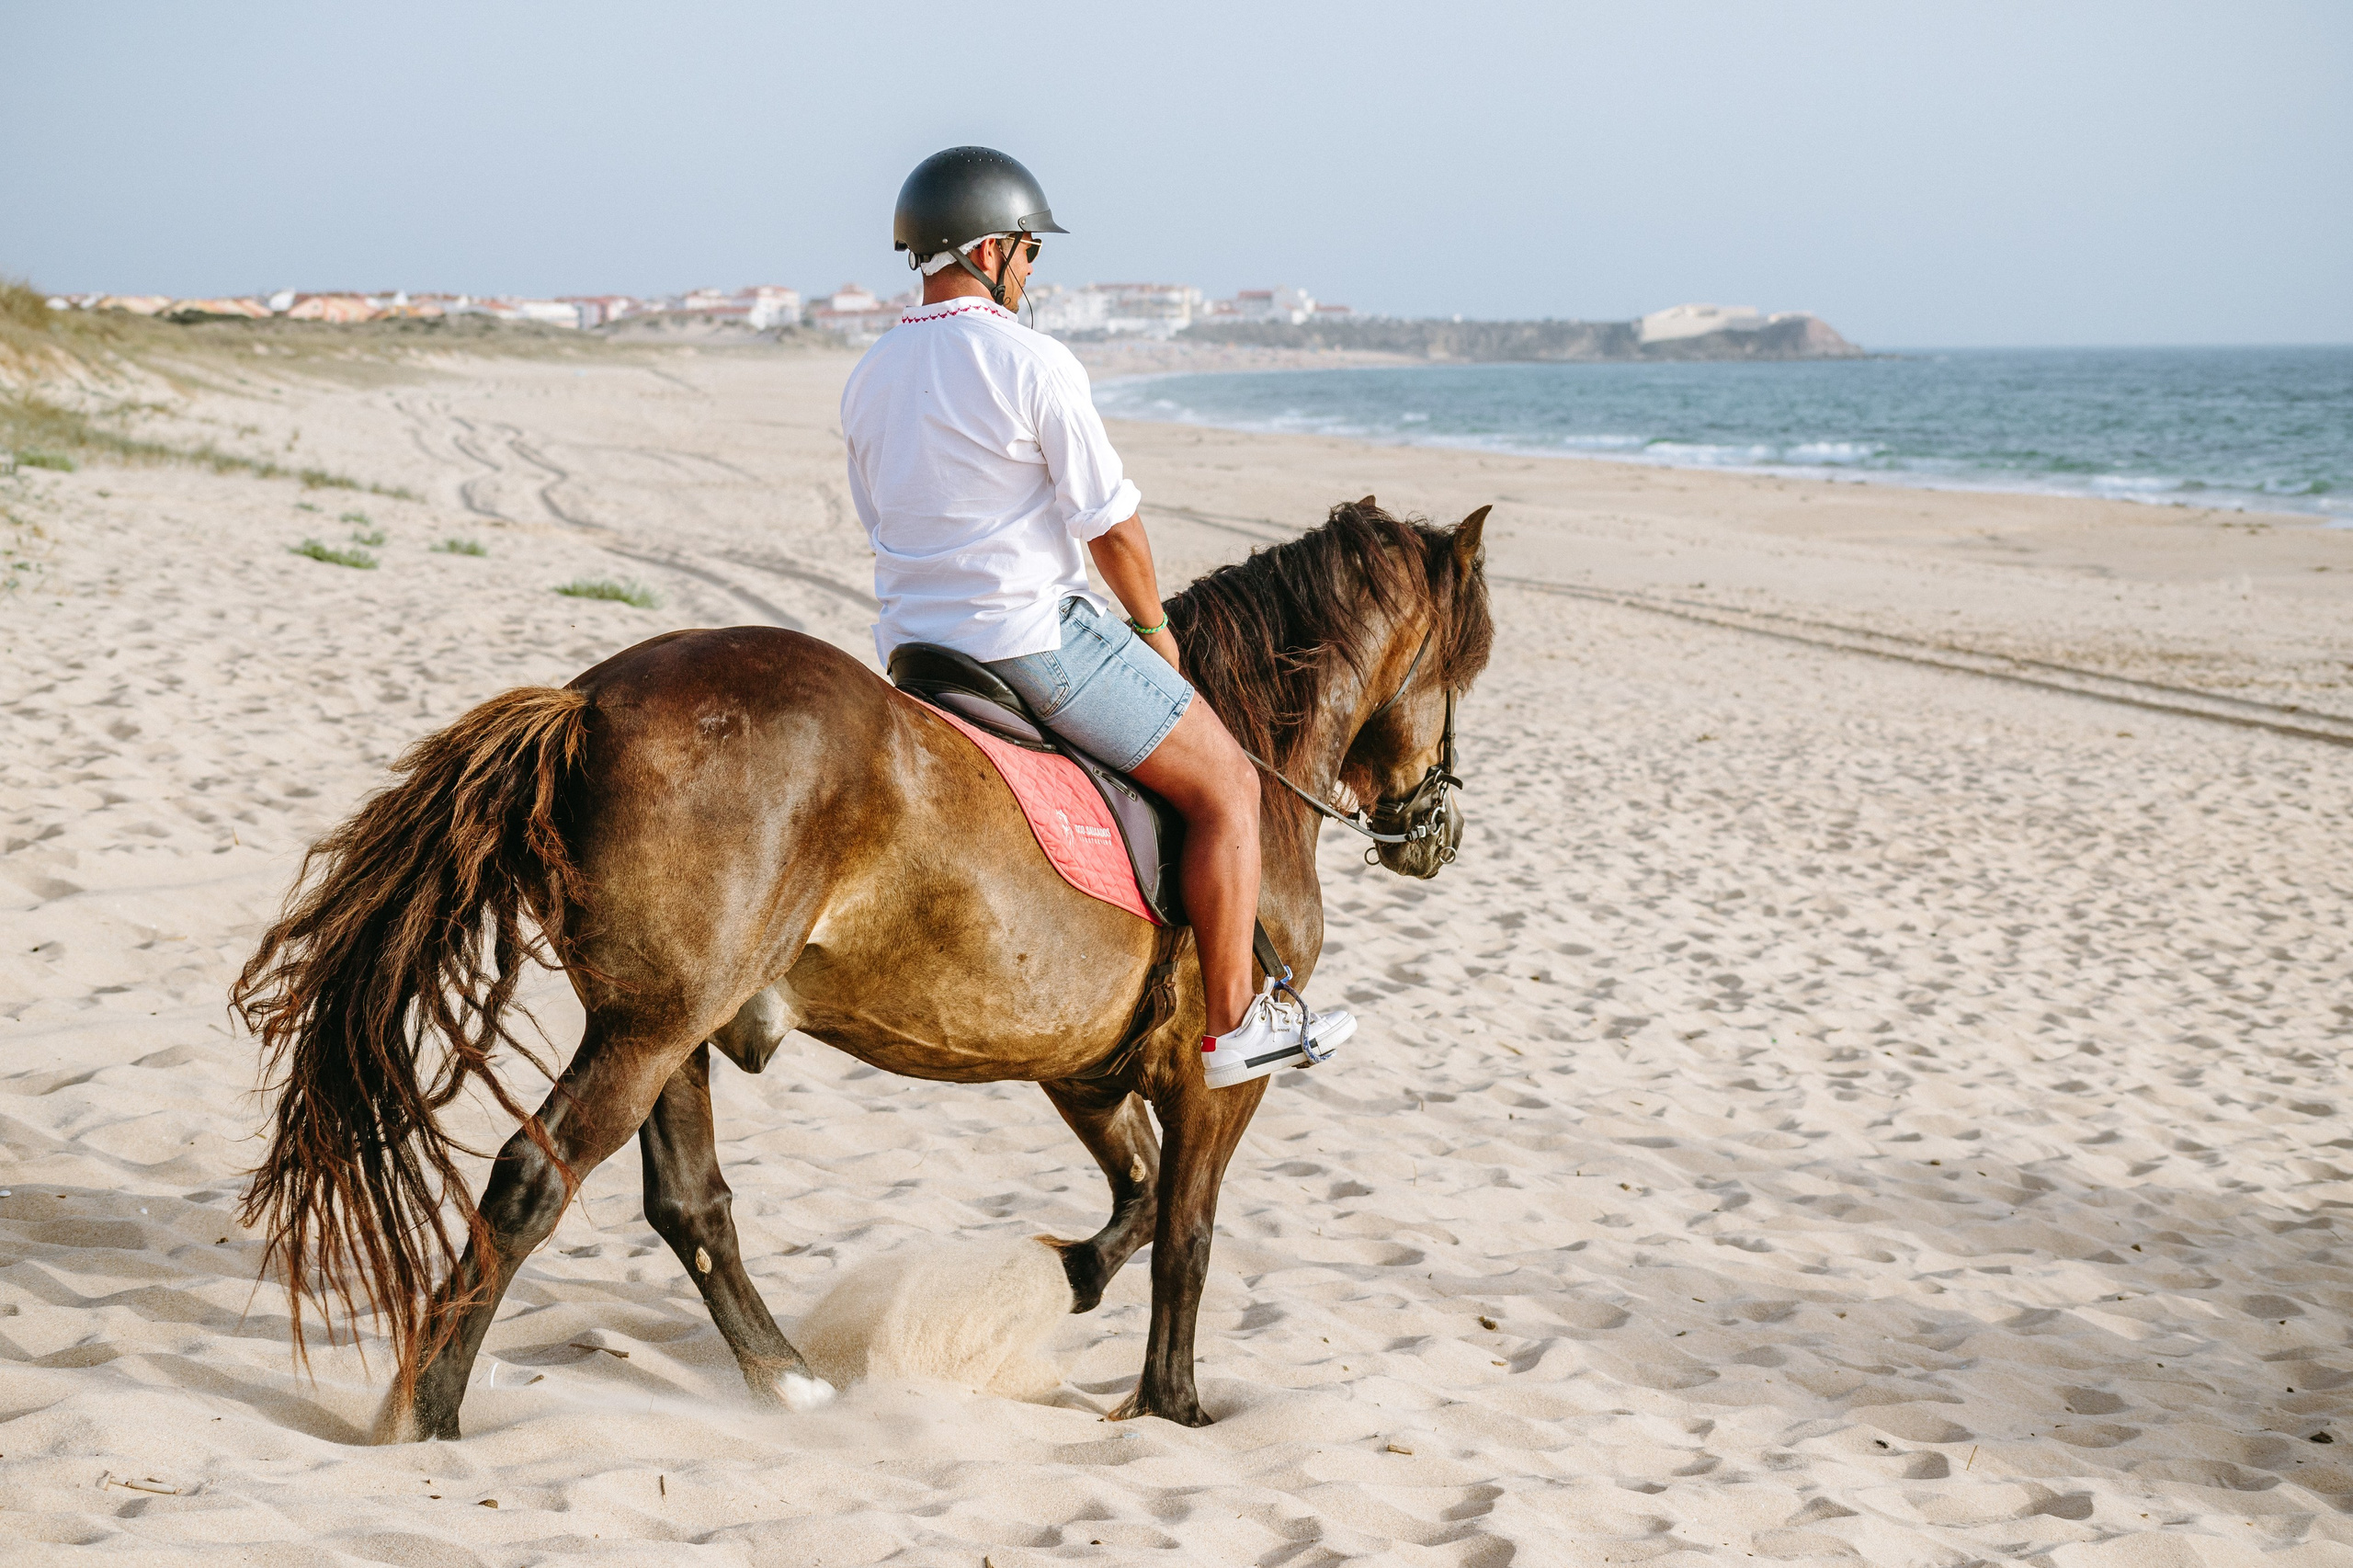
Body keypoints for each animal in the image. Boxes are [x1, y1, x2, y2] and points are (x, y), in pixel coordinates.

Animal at [232, 497, 1494, 1439]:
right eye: (1464, 667)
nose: (1436, 829)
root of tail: (589, 698)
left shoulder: (1079, 1068)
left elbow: (1133, 1203)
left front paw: (1054, 1286)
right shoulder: (1212, 1076)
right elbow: (1184, 1234)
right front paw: (1172, 1405)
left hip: (662, 1026)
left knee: (688, 1201)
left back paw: (790, 1380)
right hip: (649, 1029)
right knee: (533, 1180)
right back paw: (430, 1412)